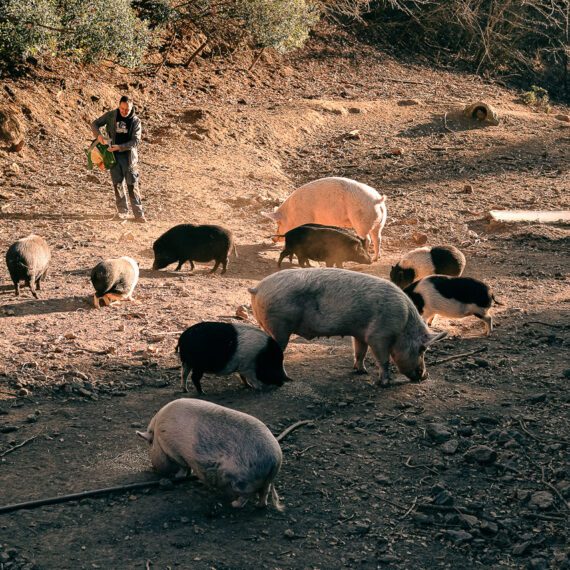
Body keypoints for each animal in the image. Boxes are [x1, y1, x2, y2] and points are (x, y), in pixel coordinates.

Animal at [135, 398, 282, 508]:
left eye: (150, 444)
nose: (153, 467)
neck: (159, 435)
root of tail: (276, 458)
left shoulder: (174, 451)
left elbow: (183, 467)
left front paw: (178, 476)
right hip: (264, 482)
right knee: (265, 493)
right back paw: (259, 505)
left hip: (244, 481)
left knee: (246, 496)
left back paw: (234, 504)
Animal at [247, 268, 444, 384]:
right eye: (422, 349)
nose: (425, 376)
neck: (403, 324)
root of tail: (257, 288)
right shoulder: (379, 336)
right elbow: (384, 359)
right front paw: (384, 383)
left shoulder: (361, 335)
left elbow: (360, 352)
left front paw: (361, 372)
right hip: (280, 326)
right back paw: (288, 379)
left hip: (269, 326)